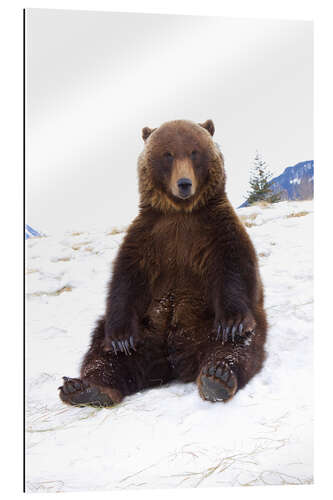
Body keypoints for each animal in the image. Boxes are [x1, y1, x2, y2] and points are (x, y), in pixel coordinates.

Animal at [58, 120, 268, 406]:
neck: (180, 211)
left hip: (207, 322)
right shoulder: (147, 236)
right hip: (145, 328)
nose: (184, 183)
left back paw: (218, 377)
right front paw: (121, 340)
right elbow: (125, 281)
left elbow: (235, 267)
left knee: (237, 345)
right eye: (167, 154)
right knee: (105, 351)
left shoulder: (216, 228)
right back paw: (86, 388)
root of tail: (172, 363)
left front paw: (232, 324)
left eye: (194, 152)